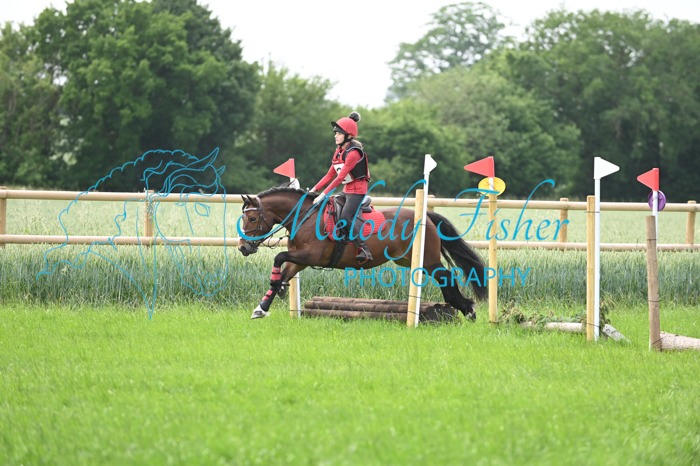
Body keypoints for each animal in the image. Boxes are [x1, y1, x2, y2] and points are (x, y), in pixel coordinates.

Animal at [237, 186, 487, 320]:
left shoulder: (311, 256)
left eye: (252, 218)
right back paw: (463, 308)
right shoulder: (299, 259)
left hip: (428, 259)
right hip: (409, 260)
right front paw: (262, 307)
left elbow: (278, 258)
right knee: (444, 277)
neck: (305, 217)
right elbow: (283, 272)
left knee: (446, 276)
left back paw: (468, 309)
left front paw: (277, 289)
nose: (243, 247)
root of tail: (426, 217)